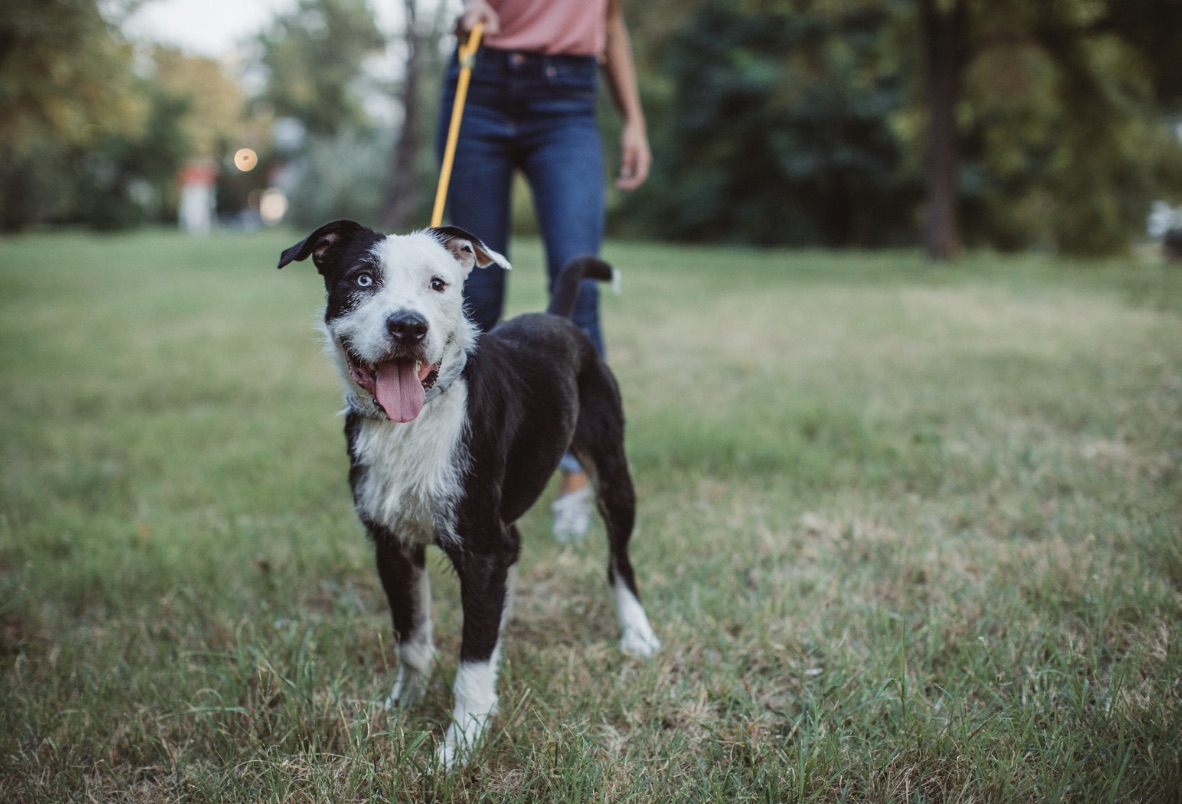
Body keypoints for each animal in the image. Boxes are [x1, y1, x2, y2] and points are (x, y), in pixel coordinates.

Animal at [278, 219, 666, 766]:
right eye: (362, 279)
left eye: (438, 284)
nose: (408, 326)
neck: (417, 421)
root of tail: (556, 319)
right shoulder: (393, 544)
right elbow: (412, 639)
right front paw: (403, 706)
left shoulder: (482, 550)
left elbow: (473, 662)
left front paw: (460, 744)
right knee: (519, 549)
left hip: (612, 471)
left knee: (619, 560)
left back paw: (636, 632)